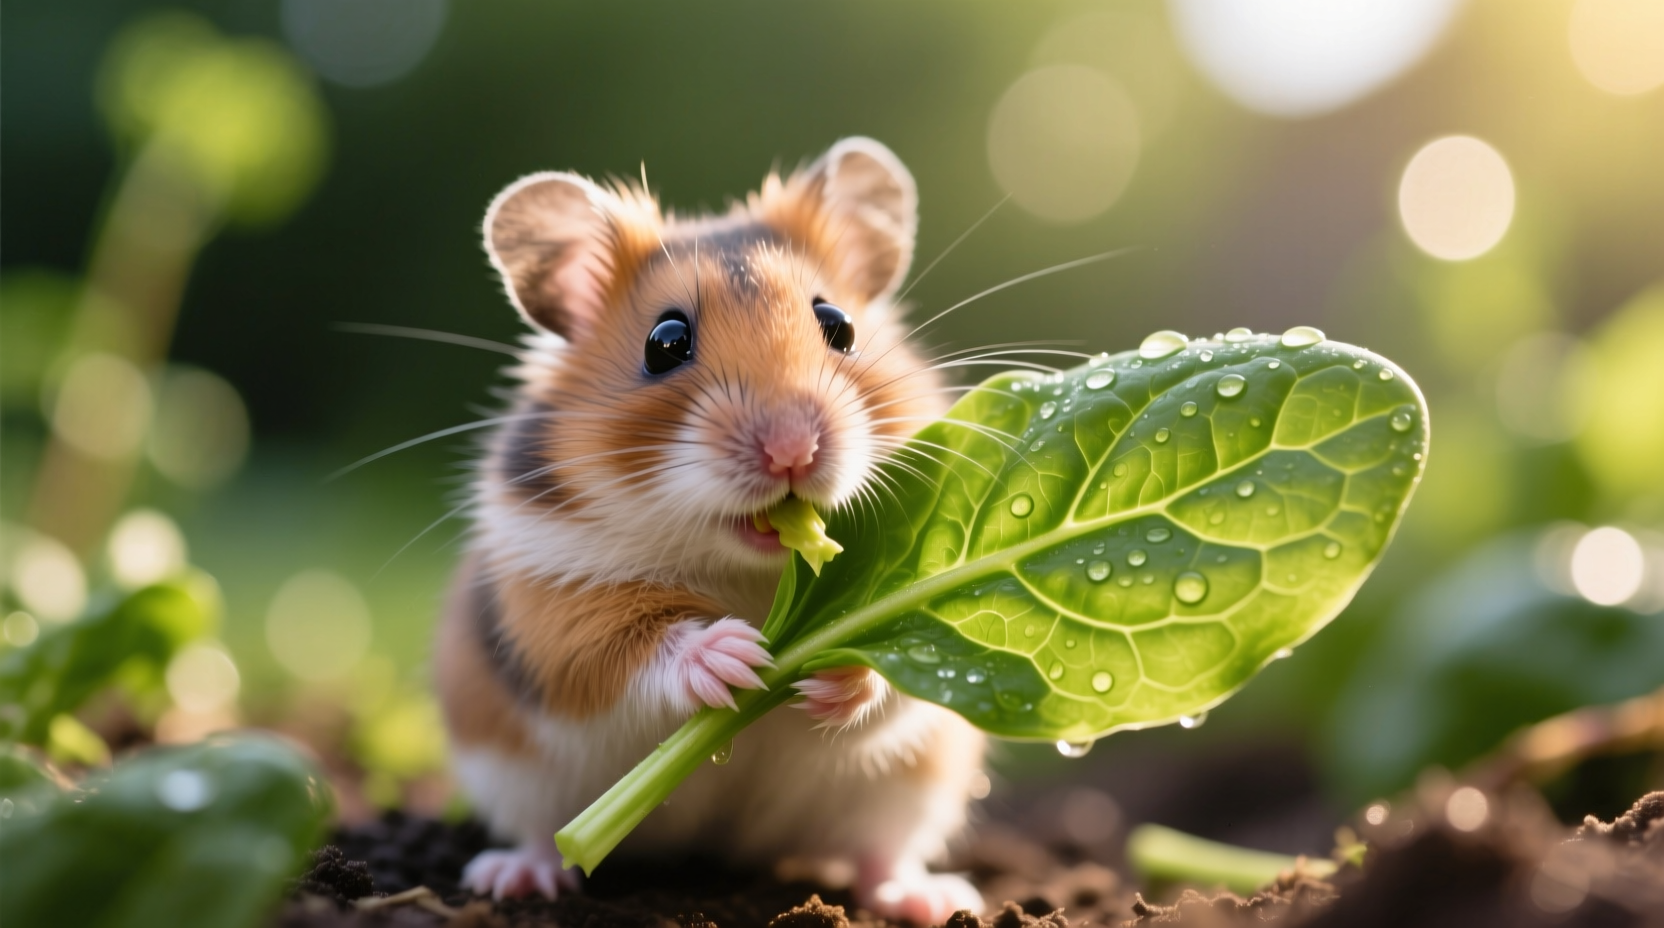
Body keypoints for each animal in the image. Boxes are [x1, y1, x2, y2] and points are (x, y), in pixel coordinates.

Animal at [434, 138, 987, 924]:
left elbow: (893, 678)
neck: (752, 573)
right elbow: (626, 648)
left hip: (907, 790)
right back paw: (515, 877)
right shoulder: (551, 601)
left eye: (840, 325)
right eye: (665, 342)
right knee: (543, 834)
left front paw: (832, 670)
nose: (792, 450)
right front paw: (735, 658)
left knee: (878, 854)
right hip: (519, 775)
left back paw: (932, 898)